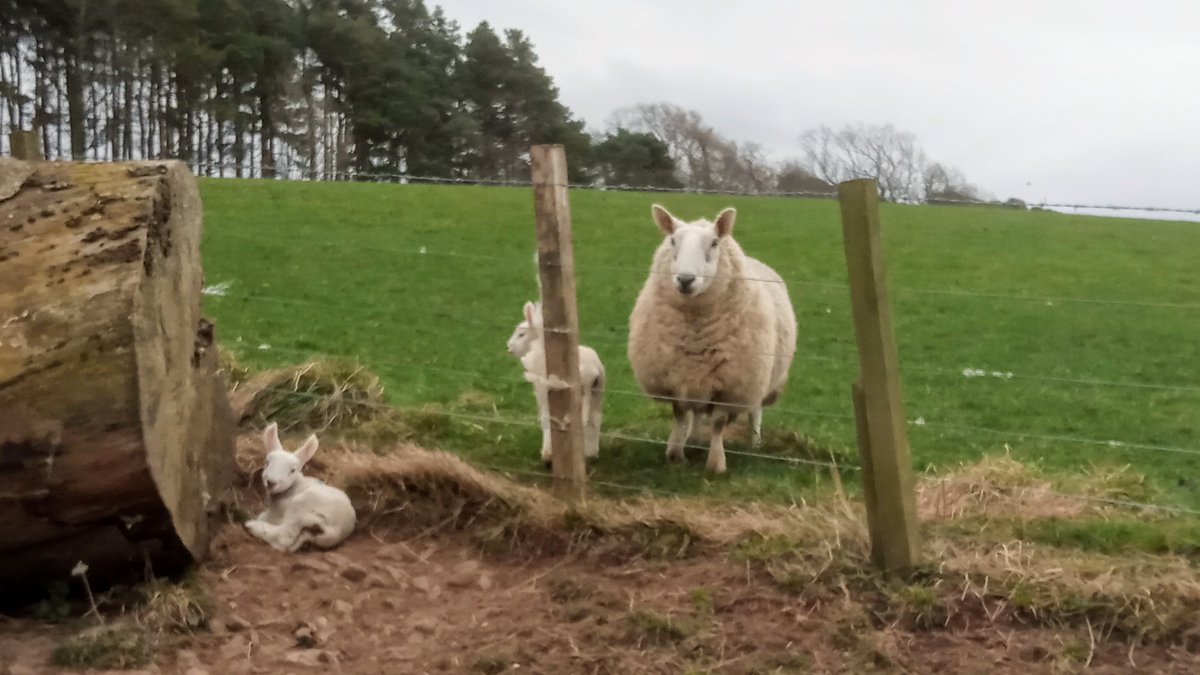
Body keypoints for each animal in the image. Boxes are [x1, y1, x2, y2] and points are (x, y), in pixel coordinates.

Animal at [244, 422, 356, 552]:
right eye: (267, 463)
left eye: (292, 470)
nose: (271, 482)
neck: (294, 486)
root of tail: (335, 530)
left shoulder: (276, 512)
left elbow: (263, 516)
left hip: (300, 508)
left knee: (284, 538)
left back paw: (252, 526)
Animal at [506, 300, 605, 466]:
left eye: (521, 334)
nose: (509, 348)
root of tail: (592, 370)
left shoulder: (542, 390)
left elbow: (546, 418)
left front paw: (547, 452)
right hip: (597, 392)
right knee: (595, 419)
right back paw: (591, 453)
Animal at [627, 204, 797, 473]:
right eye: (672, 240)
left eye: (715, 243)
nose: (685, 280)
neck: (694, 334)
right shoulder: (675, 376)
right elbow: (679, 414)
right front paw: (676, 453)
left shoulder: (730, 384)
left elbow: (718, 423)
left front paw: (716, 463)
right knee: (696, 412)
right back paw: (694, 438)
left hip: (759, 377)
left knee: (755, 409)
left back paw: (755, 442)